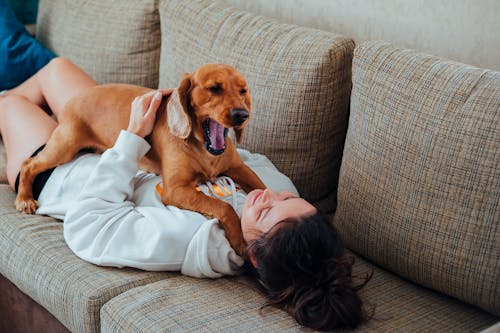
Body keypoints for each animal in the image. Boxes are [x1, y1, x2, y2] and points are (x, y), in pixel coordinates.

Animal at [14, 63, 266, 254]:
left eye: (243, 91)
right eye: (214, 88)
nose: (242, 115)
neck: (203, 148)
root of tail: (73, 99)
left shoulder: (240, 168)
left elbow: (261, 187)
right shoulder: (176, 189)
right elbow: (223, 207)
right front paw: (239, 238)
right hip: (64, 147)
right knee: (28, 164)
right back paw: (24, 198)